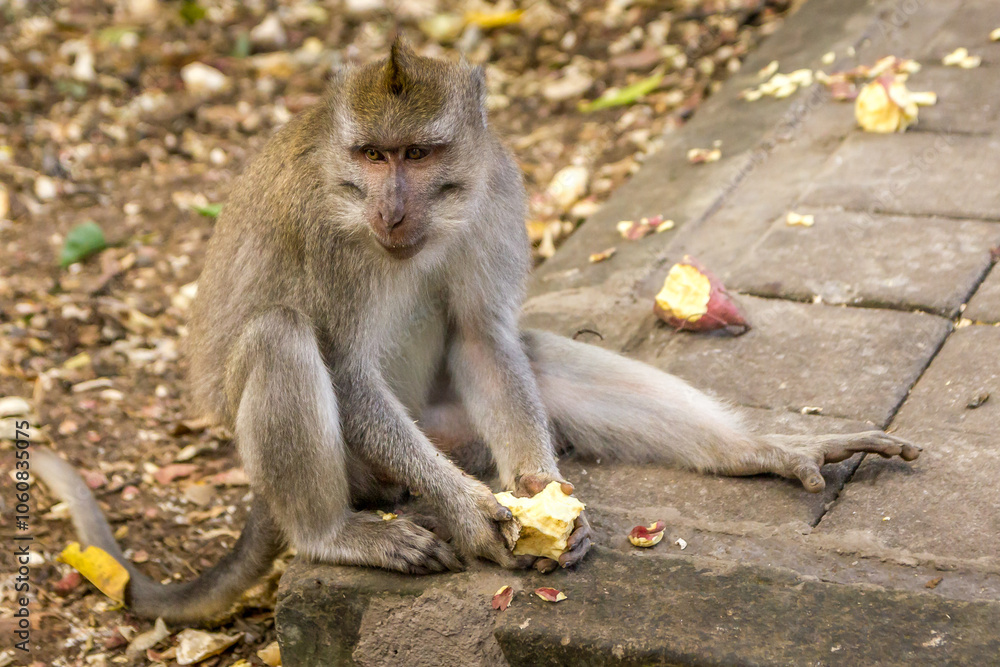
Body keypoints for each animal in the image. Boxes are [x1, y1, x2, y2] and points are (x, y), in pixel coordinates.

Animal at [32, 40, 921, 626]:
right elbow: (344, 366)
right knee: (280, 335)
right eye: (372, 155)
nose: (391, 208)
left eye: (420, 154)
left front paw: (544, 496)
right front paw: (471, 515)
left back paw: (763, 450)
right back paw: (334, 534)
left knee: (532, 356)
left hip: (448, 425)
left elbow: (485, 339)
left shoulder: (498, 189)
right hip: (364, 468)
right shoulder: (326, 229)